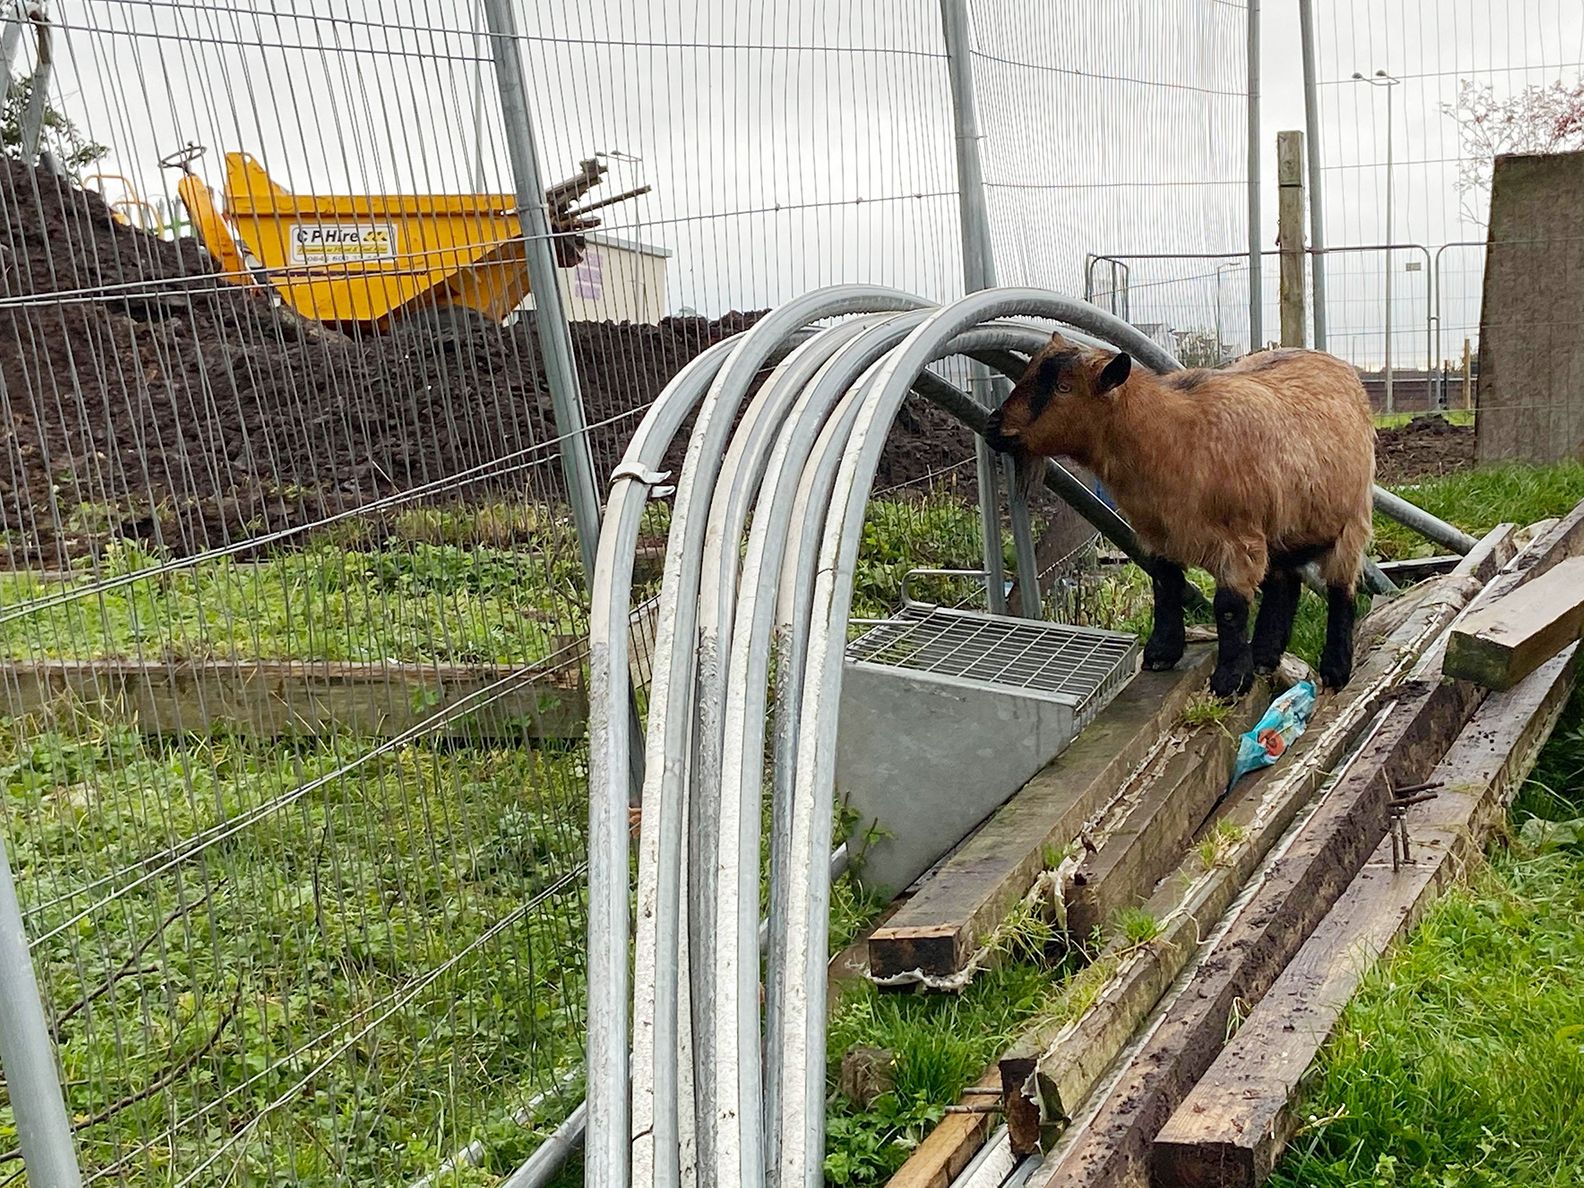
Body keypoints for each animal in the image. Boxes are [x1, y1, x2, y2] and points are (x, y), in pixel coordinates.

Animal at [982, 337, 1381, 696]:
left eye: (1064, 388)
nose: (994, 427)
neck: (1172, 436)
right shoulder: (1159, 534)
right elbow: (1166, 585)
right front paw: (1162, 654)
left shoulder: (1239, 541)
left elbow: (1229, 608)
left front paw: (1229, 681)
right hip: (1283, 525)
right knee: (1284, 582)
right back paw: (1265, 657)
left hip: (1351, 521)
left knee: (1341, 589)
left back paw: (1334, 668)